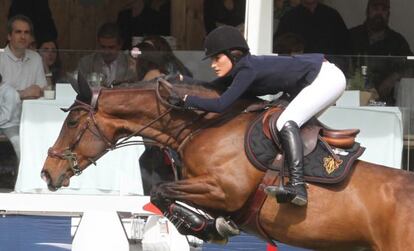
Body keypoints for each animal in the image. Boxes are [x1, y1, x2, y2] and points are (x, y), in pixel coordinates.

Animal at [41, 77, 414, 250]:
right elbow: (162, 195)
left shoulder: (224, 190)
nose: (48, 173)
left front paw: (204, 225)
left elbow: (161, 190)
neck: (201, 126)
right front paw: (205, 224)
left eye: (72, 122)